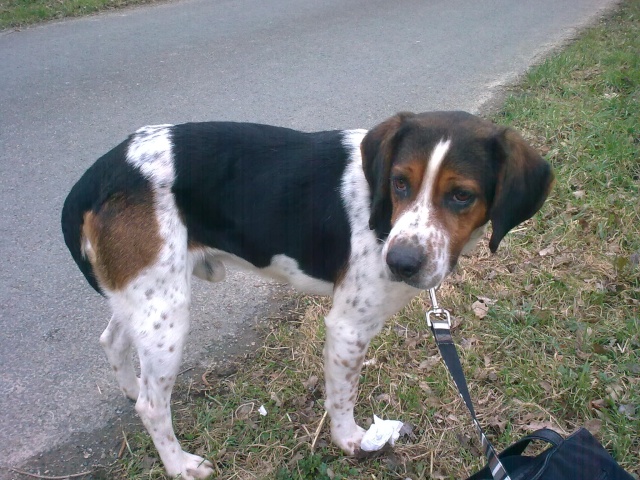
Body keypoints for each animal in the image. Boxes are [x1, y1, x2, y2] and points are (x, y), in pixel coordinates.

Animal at [60, 111, 552, 476]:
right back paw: (180, 464)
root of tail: (99, 174)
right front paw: (352, 442)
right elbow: (342, 398)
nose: (400, 262)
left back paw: (130, 389)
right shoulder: (348, 328)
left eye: (462, 196)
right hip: (167, 312)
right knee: (152, 404)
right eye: (400, 182)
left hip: (143, 297)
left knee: (114, 343)